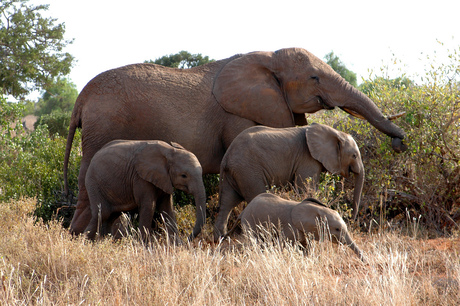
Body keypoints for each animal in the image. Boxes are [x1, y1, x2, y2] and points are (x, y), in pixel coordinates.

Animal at [214, 122, 364, 239]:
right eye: (354, 155)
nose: (351, 221)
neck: (334, 132)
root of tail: (226, 157)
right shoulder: (307, 159)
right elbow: (306, 188)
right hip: (248, 171)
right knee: (254, 194)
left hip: (235, 173)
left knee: (227, 202)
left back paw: (220, 239)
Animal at [228, 194, 364, 260]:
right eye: (337, 229)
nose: (366, 264)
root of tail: (243, 211)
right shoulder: (290, 227)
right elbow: (283, 245)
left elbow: (306, 247)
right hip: (249, 222)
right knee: (257, 242)